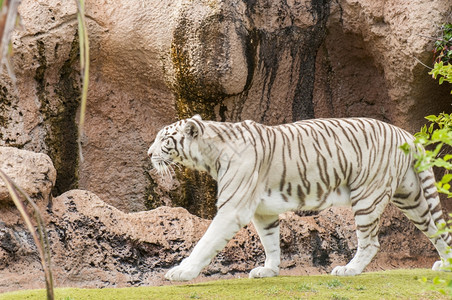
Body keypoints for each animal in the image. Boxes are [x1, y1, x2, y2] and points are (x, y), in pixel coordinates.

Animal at [148, 114, 452, 282]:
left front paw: (182, 272)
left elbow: (205, 243)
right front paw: (269, 271)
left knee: (371, 243)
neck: (209, 154)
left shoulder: (232, 209)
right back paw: (446, 264)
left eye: (164, 139)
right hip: (411, 198)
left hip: (367, 197)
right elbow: (270, 243)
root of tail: (406, 134)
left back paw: (349, 270)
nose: (149, 154)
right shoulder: (263, 211)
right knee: (438, 230)